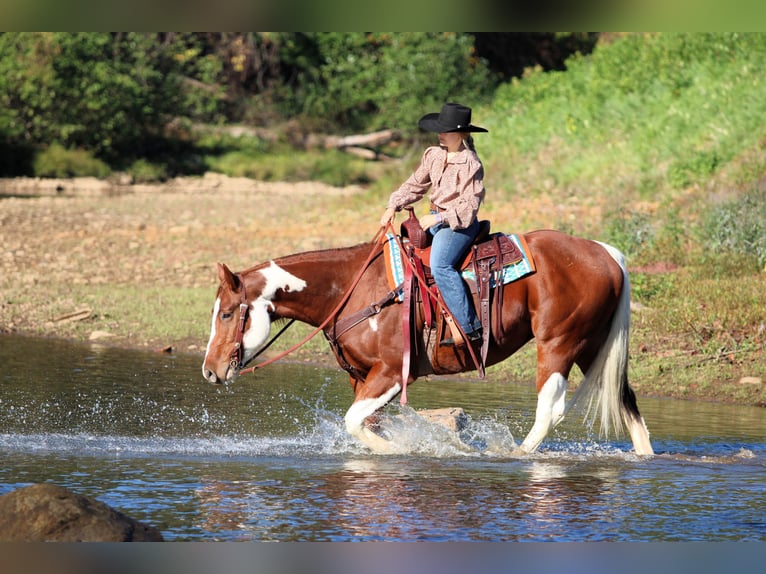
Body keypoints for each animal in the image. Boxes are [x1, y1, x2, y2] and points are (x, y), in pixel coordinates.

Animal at [202, 228, 654, 456]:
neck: (350, 288)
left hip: (559, 343)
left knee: (550, 409)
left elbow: (354, 423)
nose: (210, 371)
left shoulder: (390, 374)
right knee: (627, 405)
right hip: (592, 344)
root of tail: (606, 252)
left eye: (227, 314)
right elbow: (365, 422)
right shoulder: (361, 377)